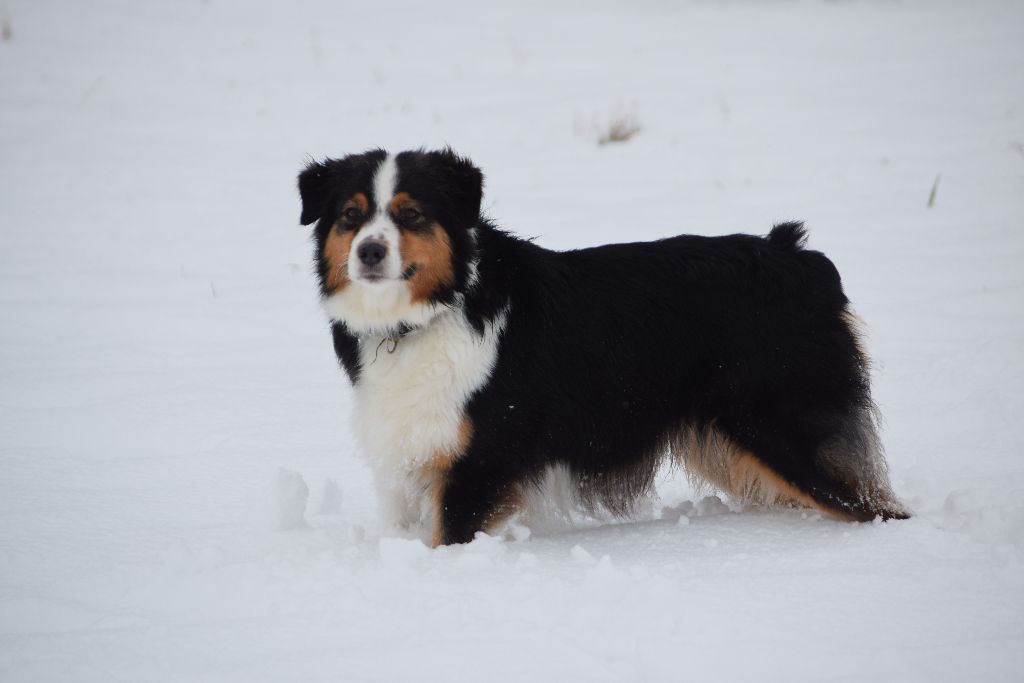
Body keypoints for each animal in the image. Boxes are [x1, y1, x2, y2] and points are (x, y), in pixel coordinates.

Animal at [297, 148, 910, 546]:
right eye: (351, 216)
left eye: (411, 214)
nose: (370, 252)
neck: (427, 316)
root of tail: (799, 257)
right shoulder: (410, 455)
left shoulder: (480, 465)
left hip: (785, 429)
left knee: (878, 509)